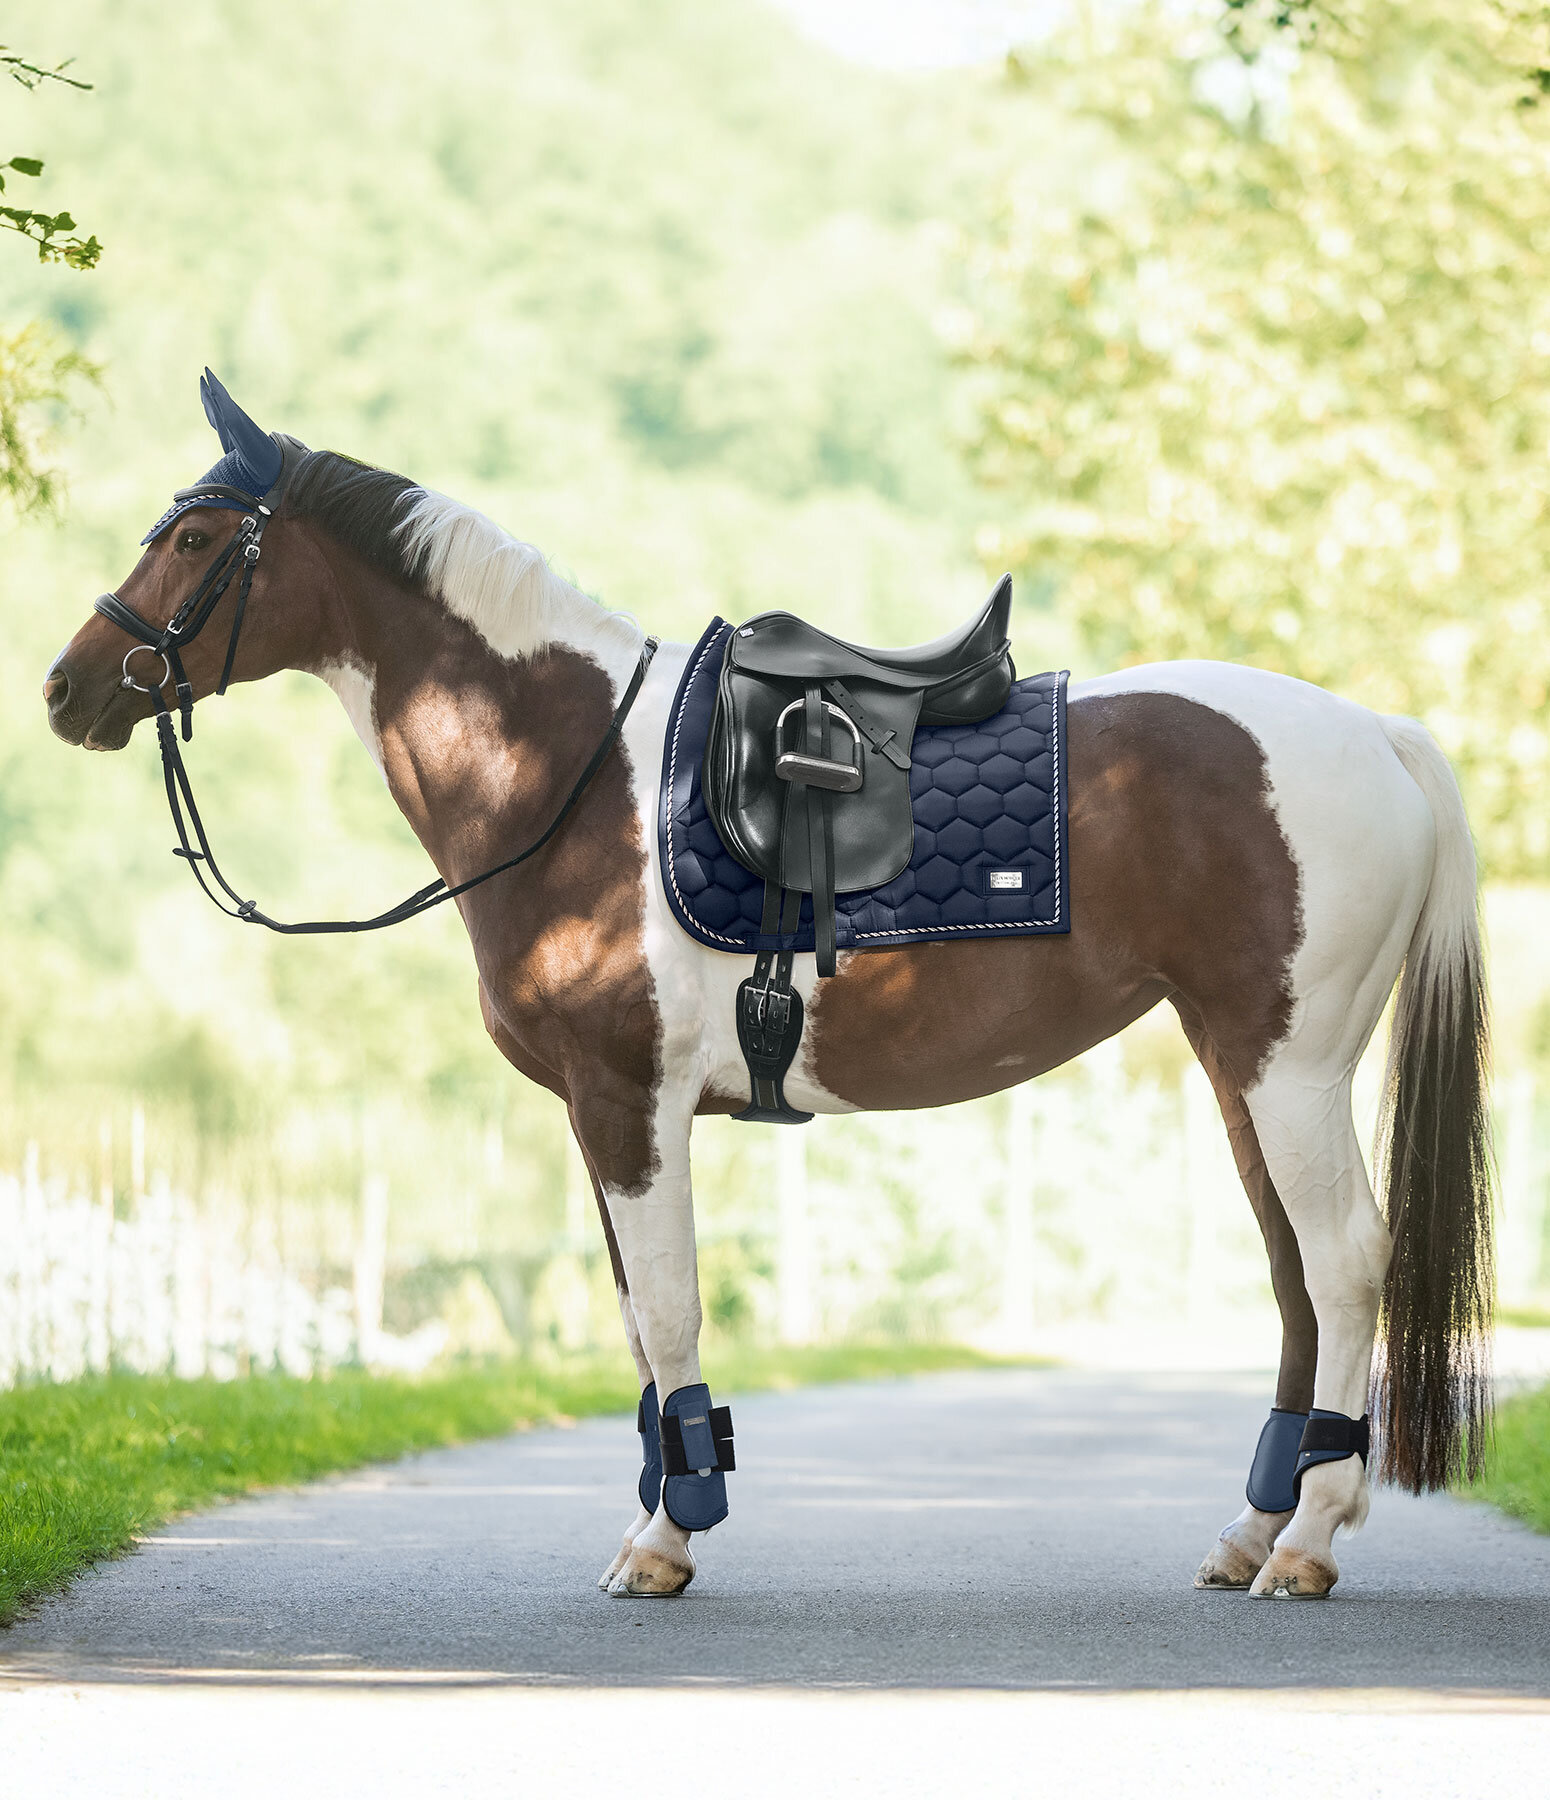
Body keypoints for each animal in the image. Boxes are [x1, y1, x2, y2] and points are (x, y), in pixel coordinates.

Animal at [45, 376, 1493, 1601]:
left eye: (192, 539)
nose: (68, 690)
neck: (571, 772)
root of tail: (1373, 735)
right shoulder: (597, 1115)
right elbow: (638, 1323)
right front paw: (657, 1520)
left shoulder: (628, 1103)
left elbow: (669, 1311)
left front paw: (666, 1541)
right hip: (1239, 1069)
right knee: (1295, 1276)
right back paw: (1252, 1528)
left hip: (1289, 1068)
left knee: (1343, 1262)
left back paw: (1305, 1543)